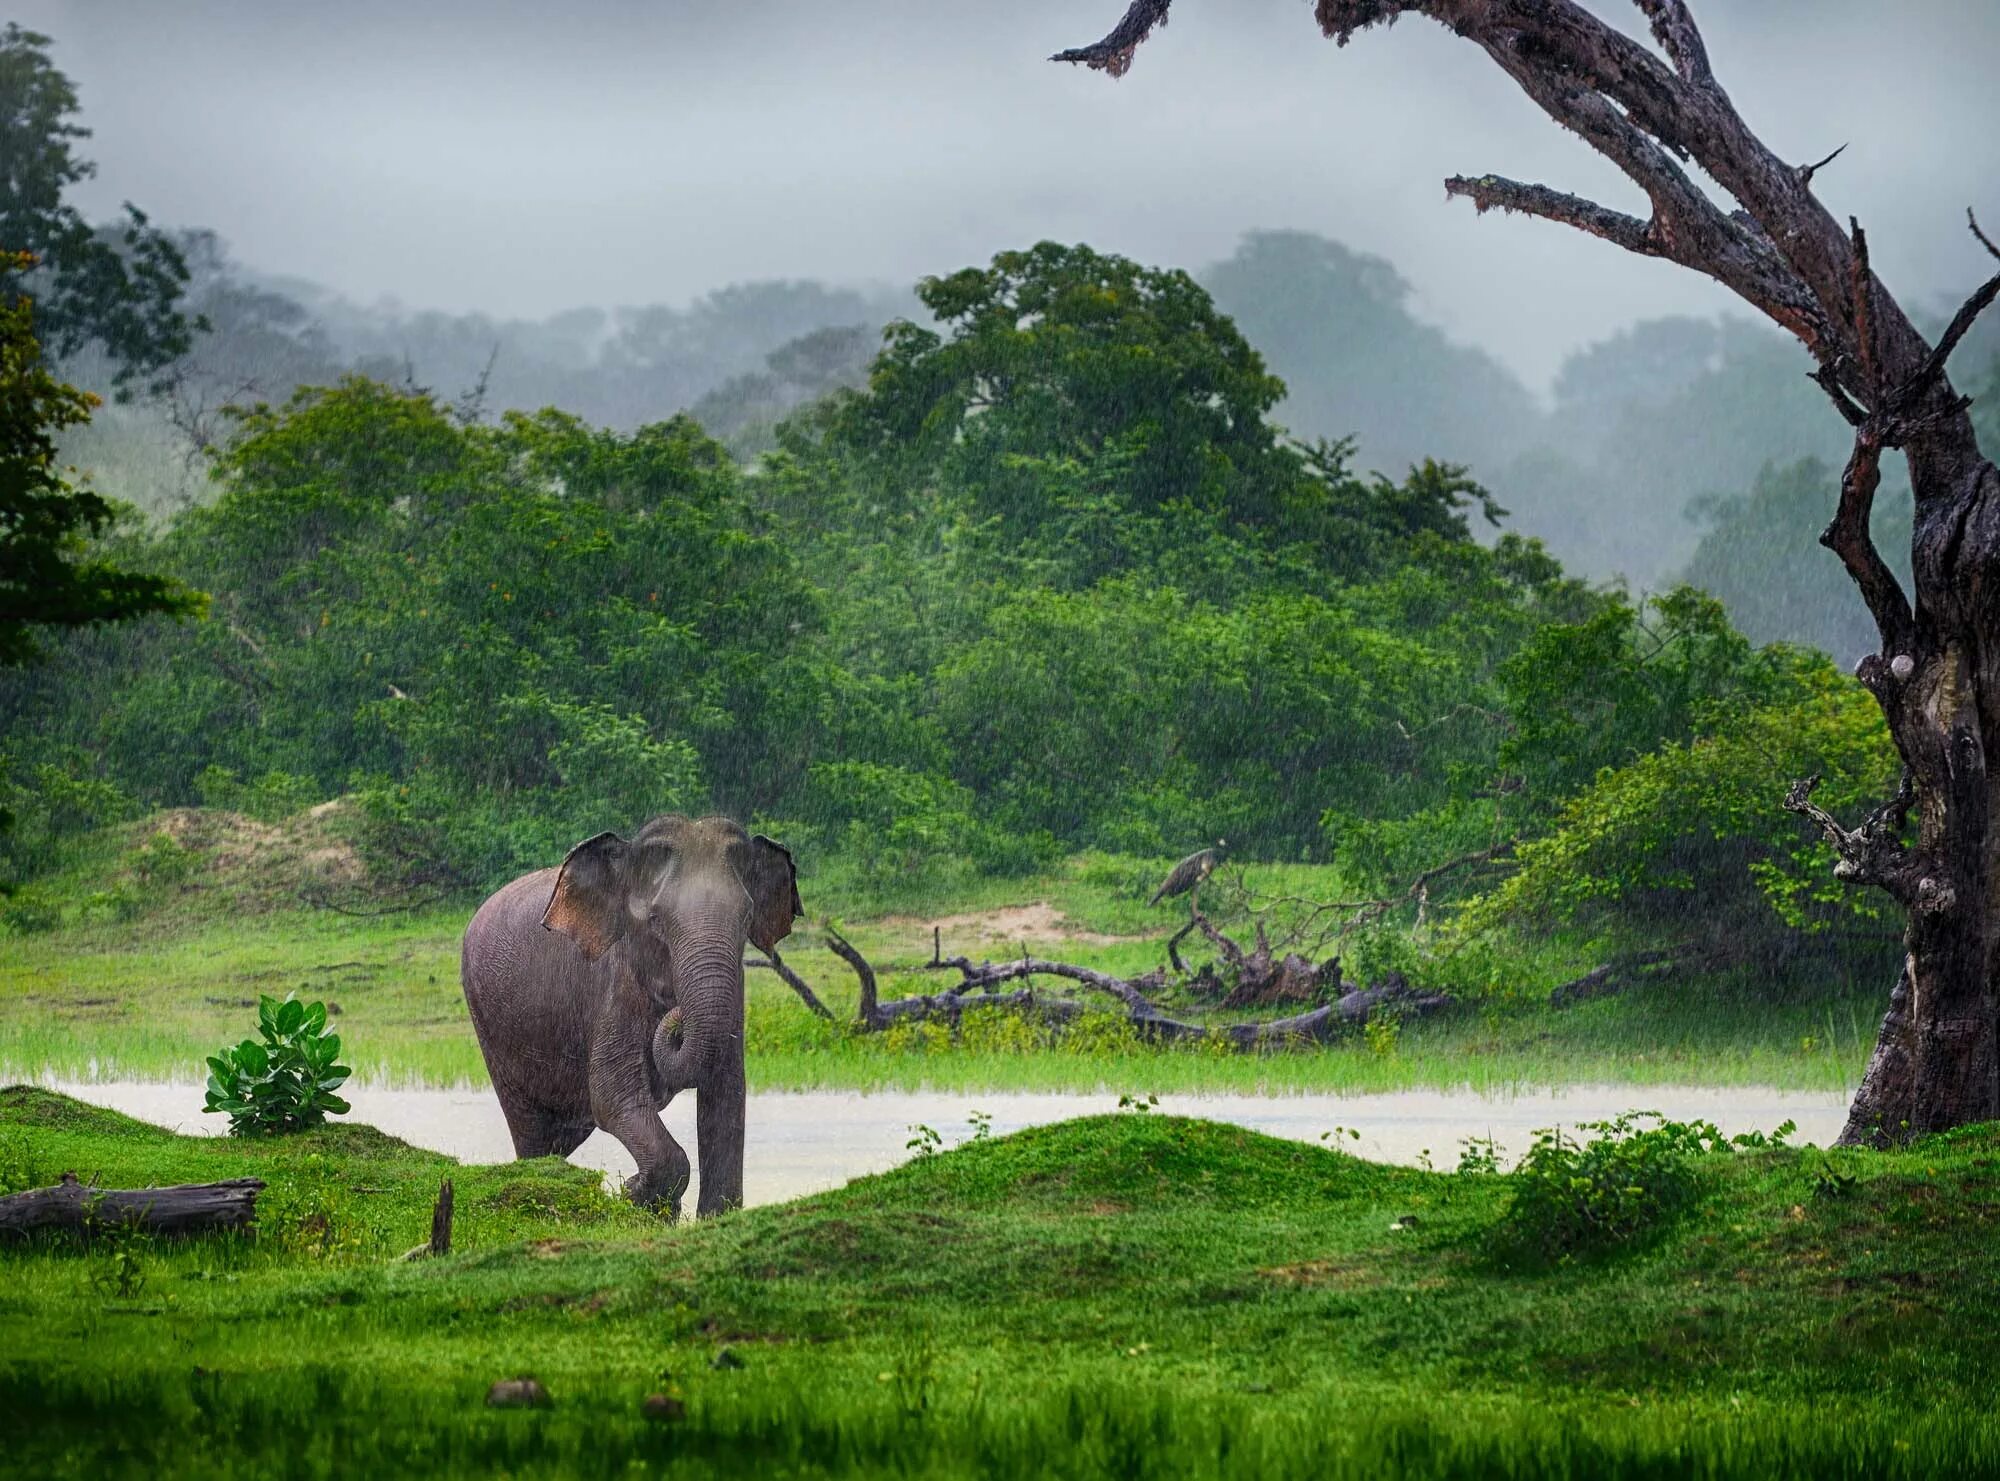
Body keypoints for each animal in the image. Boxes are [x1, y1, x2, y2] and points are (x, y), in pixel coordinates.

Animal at [458, 816, 796, 1216]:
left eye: (746, 917)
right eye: (655, 920)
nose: (676, 1015)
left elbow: (726, 1095)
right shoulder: (613, 984)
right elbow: (612, 1097)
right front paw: (631, 1192)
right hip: (489, 1024)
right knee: (532, 1129)